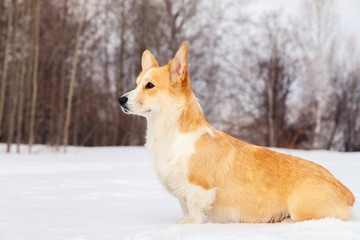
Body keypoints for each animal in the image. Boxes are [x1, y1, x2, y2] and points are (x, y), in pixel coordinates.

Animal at [118, 42, 354, 223]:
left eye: (149, 85)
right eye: (136, 84)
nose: (120, 99)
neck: (170, 136)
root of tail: (343, 189)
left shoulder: (199, 189)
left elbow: (194, 214)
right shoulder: (183, 196)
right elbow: (185, 209)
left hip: (301, 208)